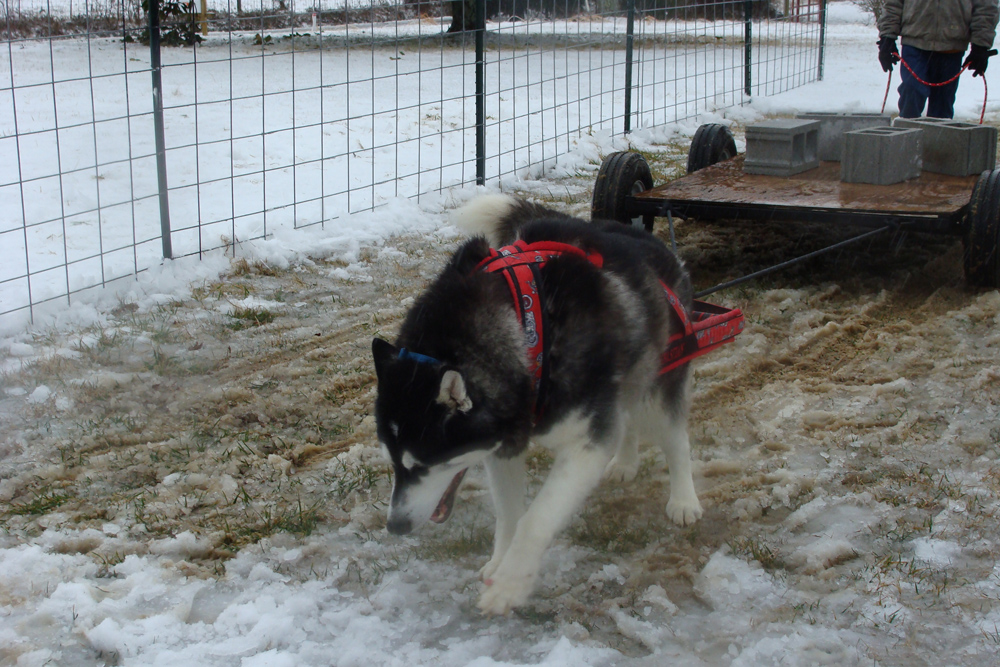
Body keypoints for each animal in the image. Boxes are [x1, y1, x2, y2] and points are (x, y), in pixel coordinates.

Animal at [374, 194, 704, 616]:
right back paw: (626, 462)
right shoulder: (503, 445)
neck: (527, 327)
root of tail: (644, 237)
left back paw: (684, 499)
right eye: (393, 462)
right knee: (625, 418)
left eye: (422, 465)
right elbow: (510, 514)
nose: (394, 527)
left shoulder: (585, 445)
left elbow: (536, 519)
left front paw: (509, 586)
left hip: (659, 385)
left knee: (674, 437)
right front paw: (500, 563)